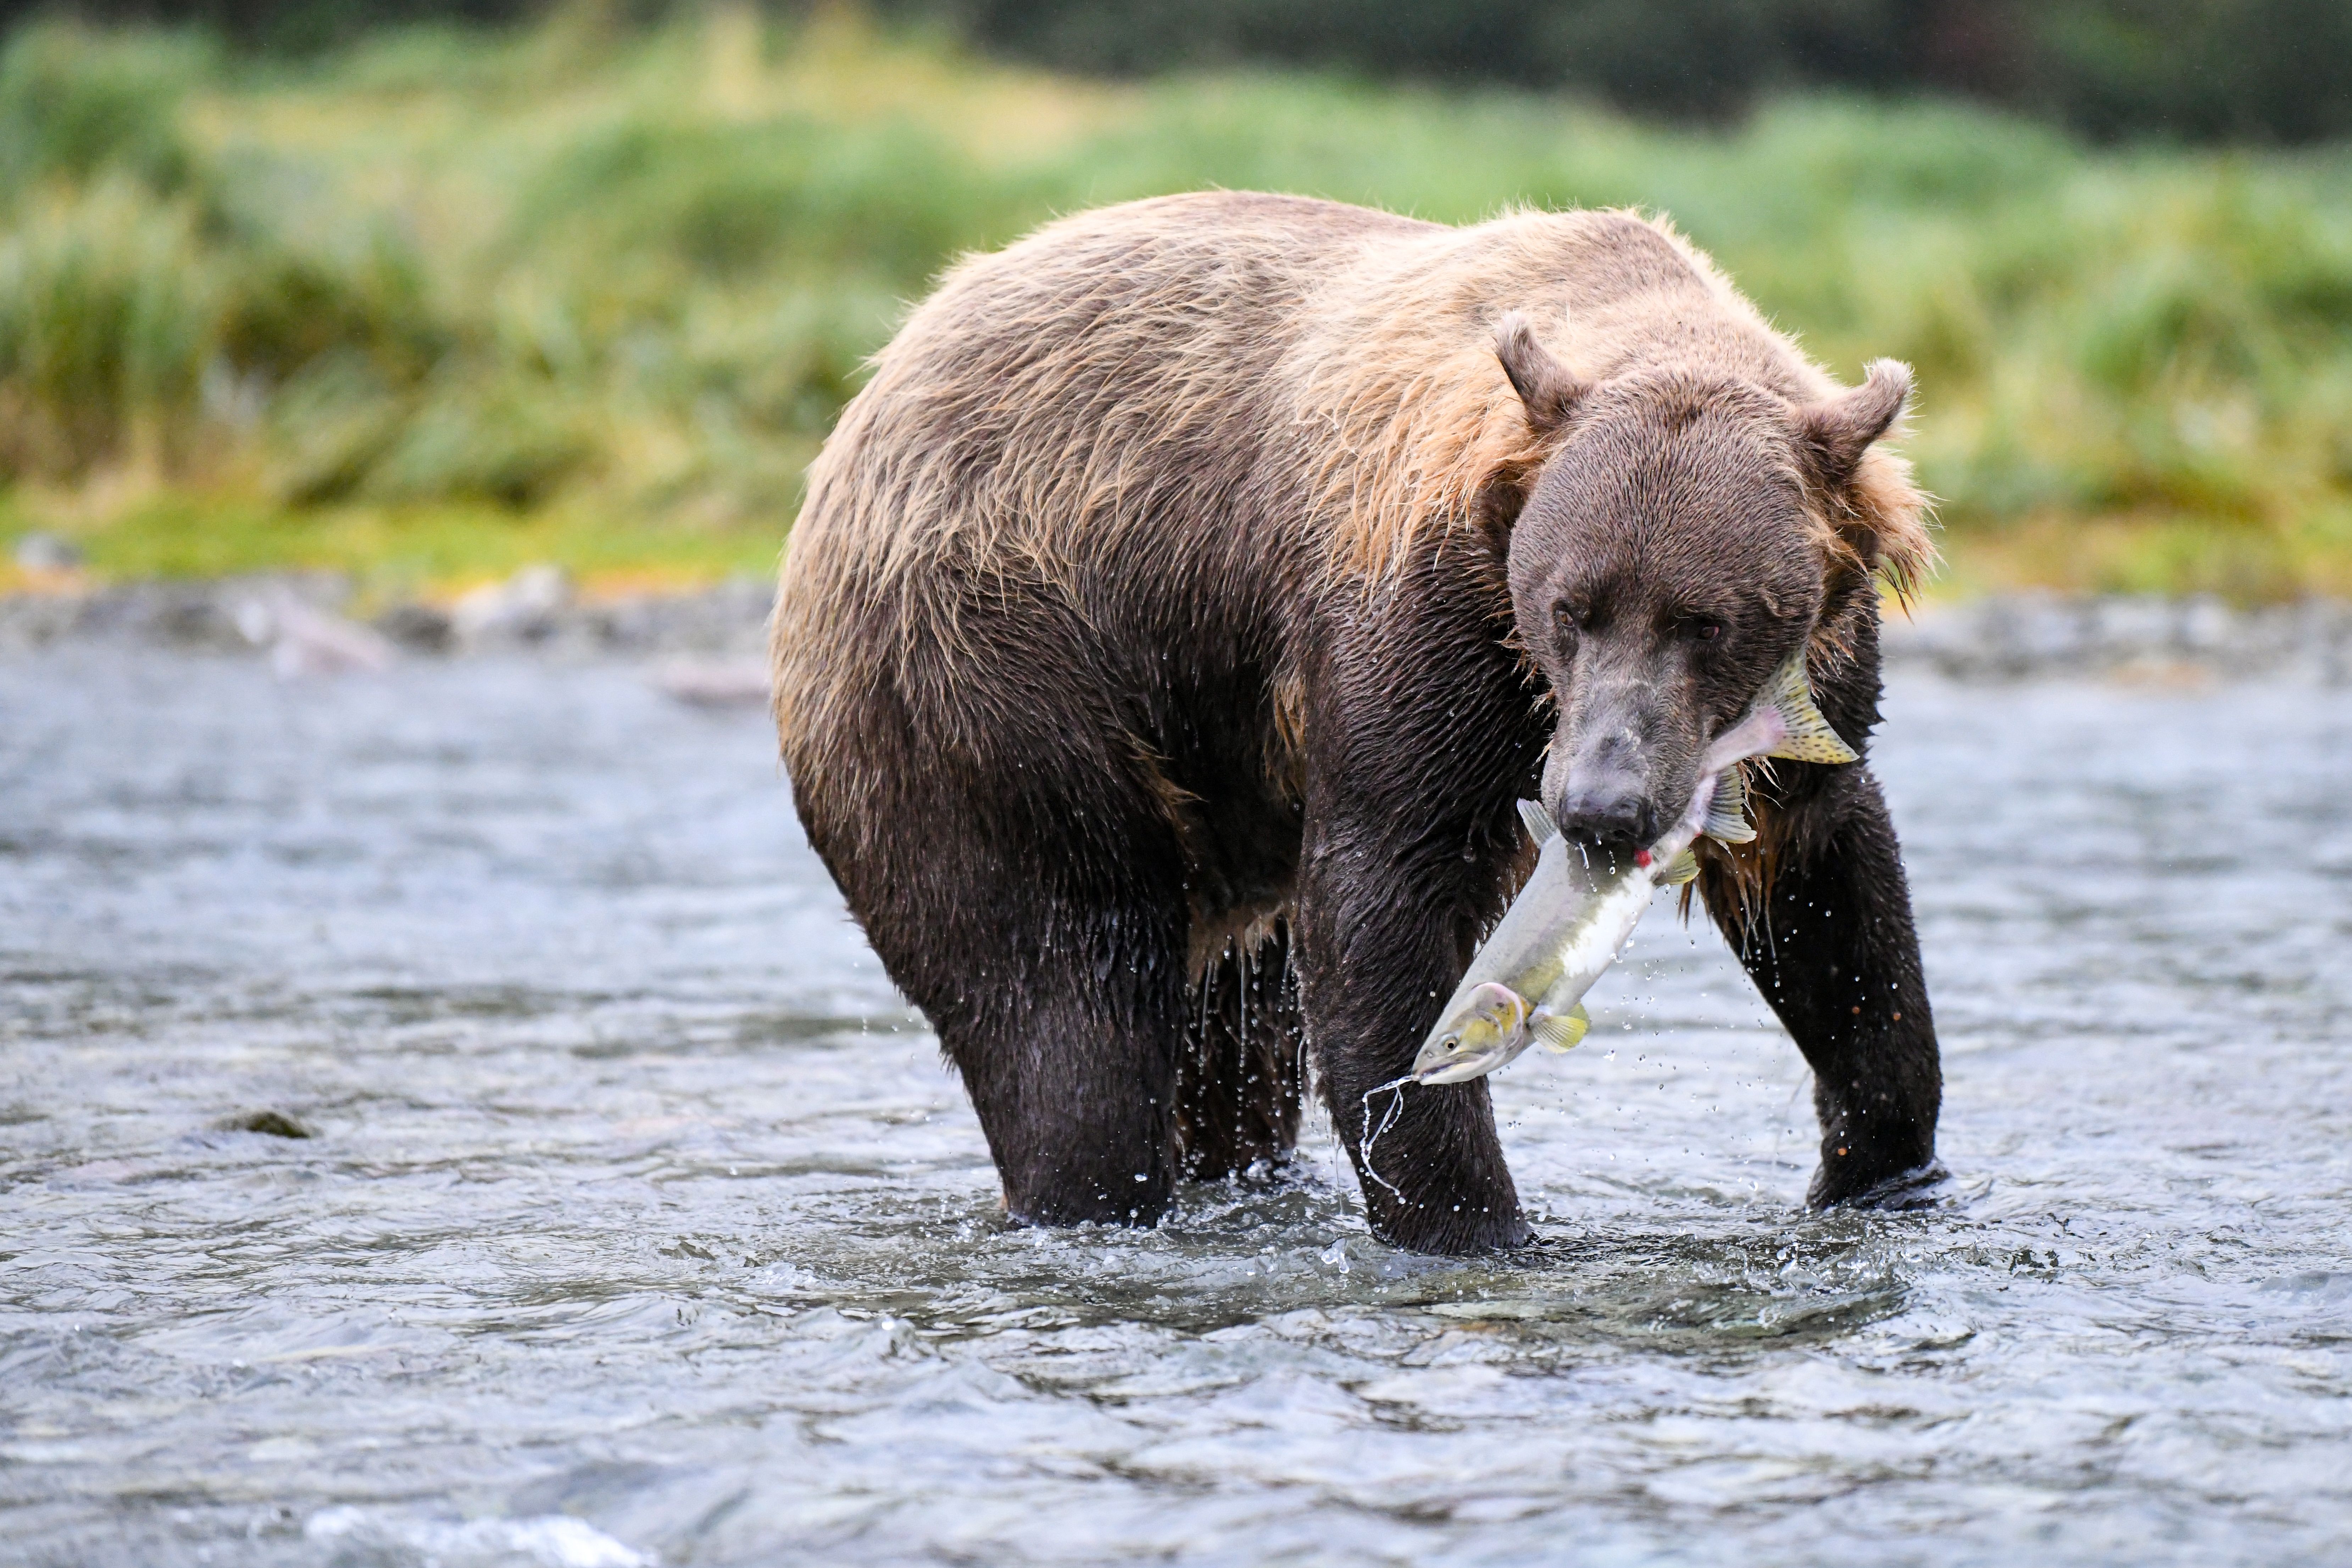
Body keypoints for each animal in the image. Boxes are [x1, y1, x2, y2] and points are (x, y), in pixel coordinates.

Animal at [771, 191, 1940, 1255]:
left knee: (1230, 1042)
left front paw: (1884, 1169)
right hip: (1000, 676)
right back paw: (1086, 1190)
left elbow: (1831, 903)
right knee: (1065, 998)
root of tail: (861, 411)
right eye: (1570, 607)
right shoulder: (1419, 627)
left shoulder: (1815, 690)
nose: (1599, 804)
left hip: (1211, 791)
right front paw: (1471, 1218)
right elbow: (1386, 896)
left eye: (1709, 620)